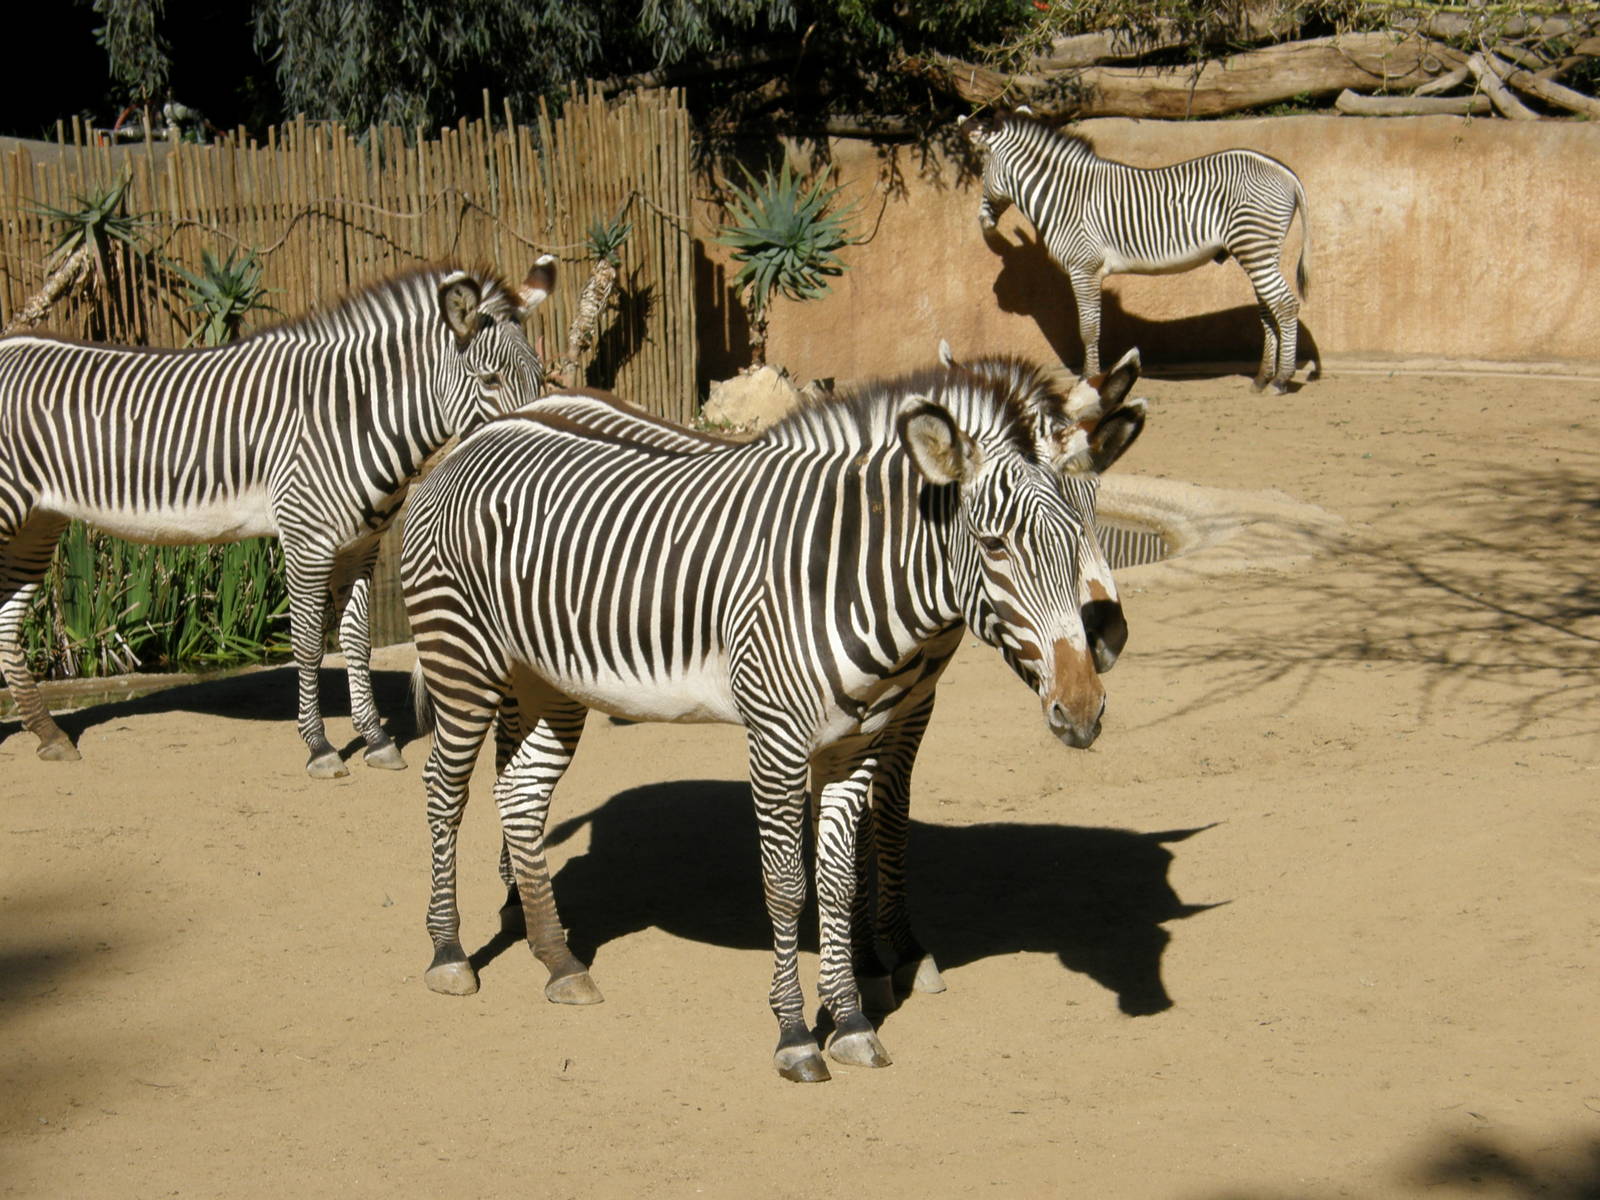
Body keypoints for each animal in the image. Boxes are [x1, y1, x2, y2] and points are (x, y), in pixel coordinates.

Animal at [0, 259, 553, 777]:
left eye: (541, 377)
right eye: (489, 380)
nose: (531, 450)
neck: (348, 415)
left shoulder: (361, 544)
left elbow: (357, 642)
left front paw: (375, 740)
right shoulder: (307, 539)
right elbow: (307, 644)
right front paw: (320, 747)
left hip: (38, 520)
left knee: (7, 617)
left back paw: (49, 734)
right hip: (11, 509)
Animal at [402, 351, 1148, 1081]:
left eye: (1084, 529)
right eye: (994, 546)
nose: (1085, 703)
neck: (851, 575)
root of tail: (484, 436)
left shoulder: (856, 742)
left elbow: (841, 874)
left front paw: (851, 1018)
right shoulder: (780, 739)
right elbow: (790, 885)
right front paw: (796, 1034)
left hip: (544, 679)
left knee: (521, 793)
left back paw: (557, 958)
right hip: (459, 657)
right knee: (444, 792)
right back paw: (450, 954)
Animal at [962, 107, 1314, 393]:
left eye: (983, 166)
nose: (982, 222)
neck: (1066, 198)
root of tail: (1284, 171)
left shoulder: (1084, 267)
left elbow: (1088, 329)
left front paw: (1089, 379)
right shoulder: (1090, 271)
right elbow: (1094, 326)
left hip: (1255, 246)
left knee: (1284, 305)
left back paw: (1281, 379)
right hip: (1257, 251)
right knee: (1268, 308)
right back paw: (1262, 377)